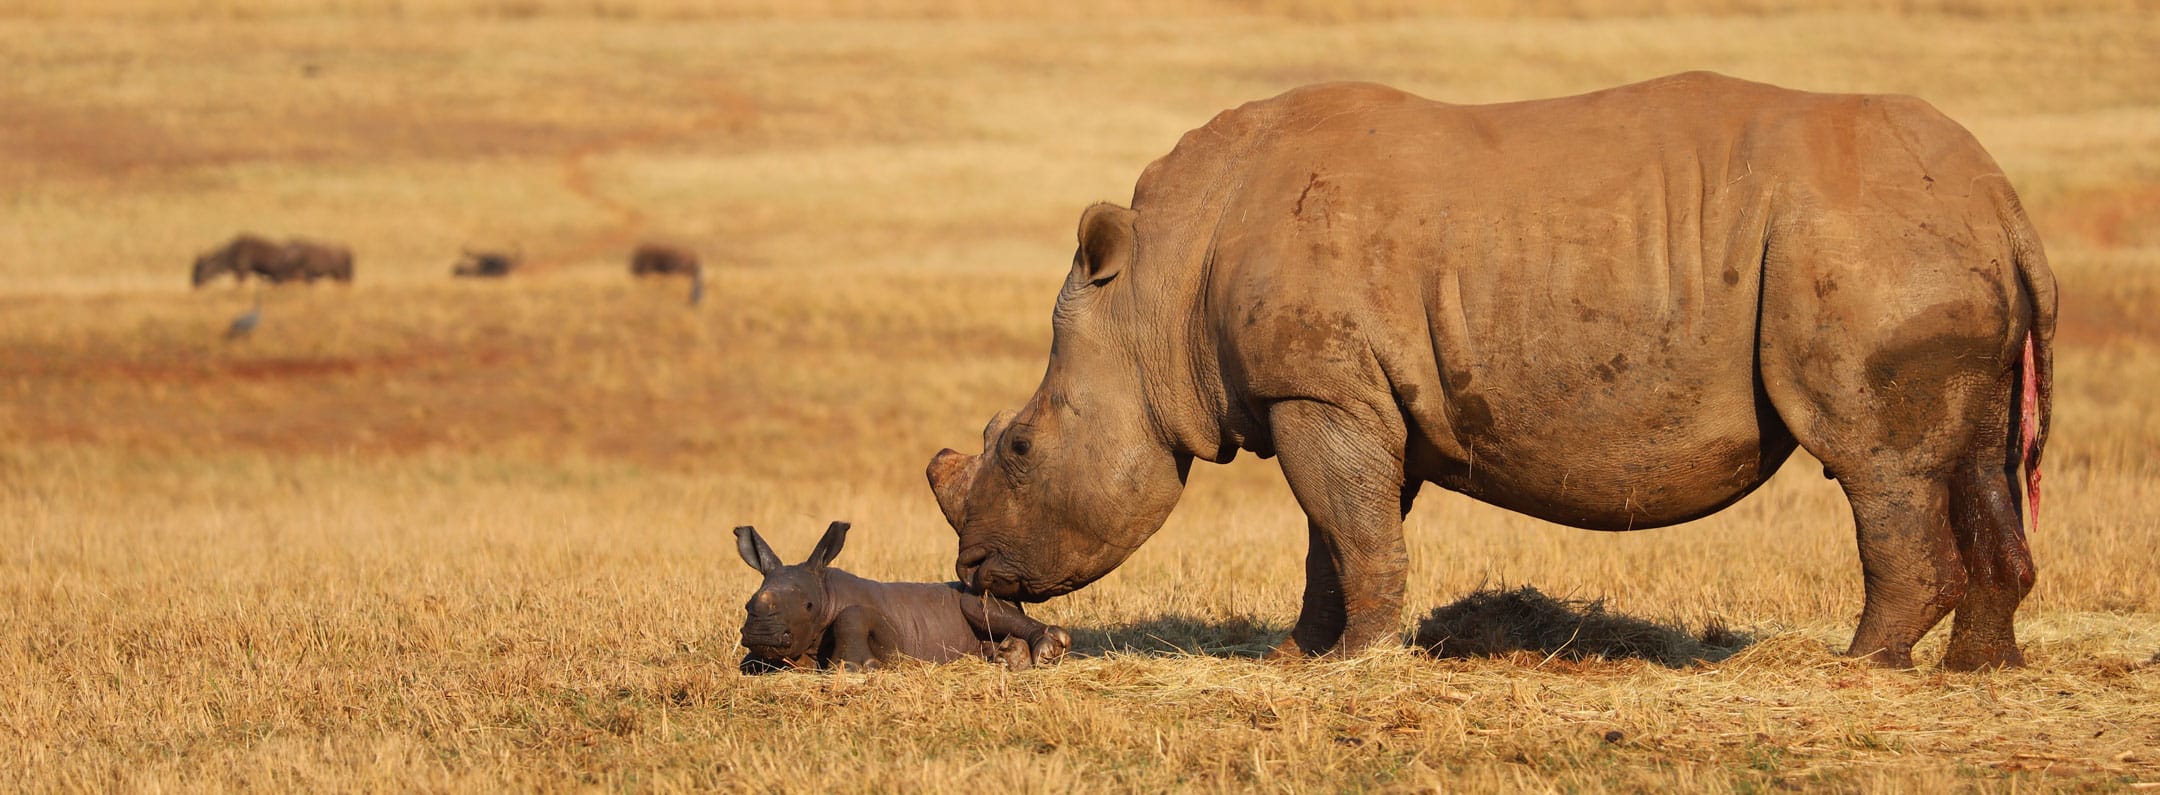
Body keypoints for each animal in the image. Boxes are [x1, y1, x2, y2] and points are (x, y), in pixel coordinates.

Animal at [734, 521, 1072, 673]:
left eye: (808, 606)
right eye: (747, 605)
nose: (762, 634)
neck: (828, 593)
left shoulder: (893, 635)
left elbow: (852, 616)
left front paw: (853, 668)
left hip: (981, 591)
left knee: (978, 604)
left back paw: (1044, 652)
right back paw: (1006, 656)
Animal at [926, 72, 2056, 670]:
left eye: (1018, 446)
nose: (972, 573)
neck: (1157, 289)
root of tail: (2005, 201)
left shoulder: (1321, 388)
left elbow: (1348, 528)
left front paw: (1352, 661)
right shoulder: (1346, 394)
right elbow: (1337, 534)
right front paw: (1304, 656)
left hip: (1866, 250)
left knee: (1877, 464)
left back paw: (1861, 666)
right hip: (1929, 242)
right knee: (1980, 457)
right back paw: (1976, 672)